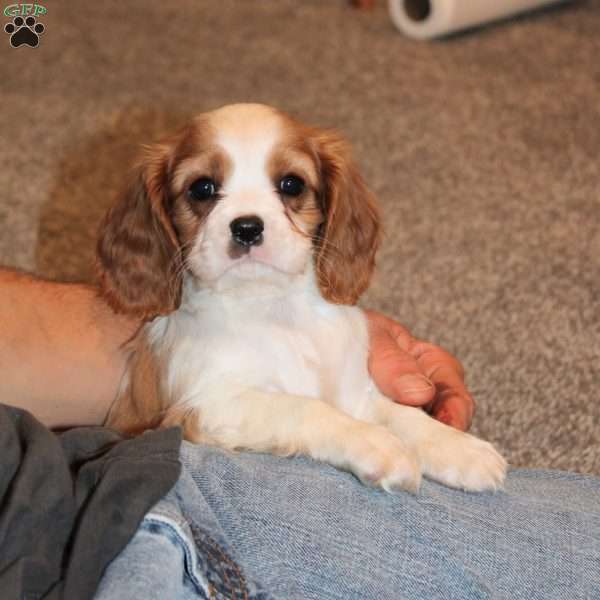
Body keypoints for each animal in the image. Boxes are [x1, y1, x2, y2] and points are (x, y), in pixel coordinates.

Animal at [97, 103, 506, 492]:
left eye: (291, 184)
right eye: (202, 188)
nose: (247, 228)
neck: (274, 308)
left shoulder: (355, 391)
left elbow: (403, 415)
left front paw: (458, 447)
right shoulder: (204, 406)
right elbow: (305, 408)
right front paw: (379, 445)